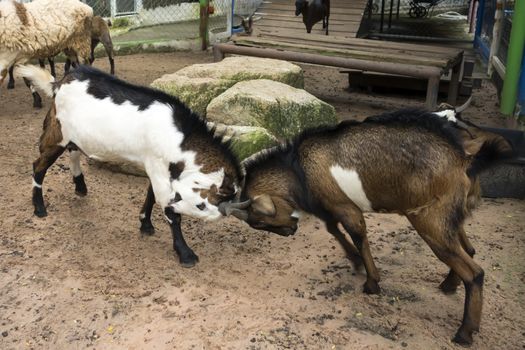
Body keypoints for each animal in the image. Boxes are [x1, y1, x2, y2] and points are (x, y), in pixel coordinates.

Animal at [20, 65, 248, 266]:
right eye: (201, 205)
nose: (175, 204)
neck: (181, 138)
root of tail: (60, 83)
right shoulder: (159, 170)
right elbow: (170, 213)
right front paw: (186, 254)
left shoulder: (157, 167)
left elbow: (151, 196)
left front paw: (145, 224)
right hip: (57, 133)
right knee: (38, 166)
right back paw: (39, 208)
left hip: (73, 137)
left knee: (73, 152)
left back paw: (80, 187)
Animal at [232, 107, 512, 344]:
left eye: (259, 222)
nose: (289, 232)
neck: (298, 169)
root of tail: (465, 161)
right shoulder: (332, 206)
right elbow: (333, 229)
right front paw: (356, 262)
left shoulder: (345, 208)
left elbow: (357, 235)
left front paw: (371, 283)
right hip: (450, 219)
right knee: (469, 250)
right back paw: (449, 285)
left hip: (429, 221)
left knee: (474, 272)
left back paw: (465, 332)